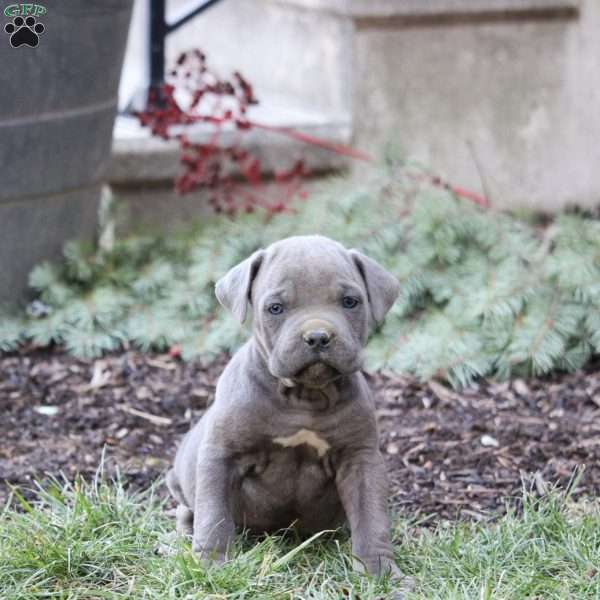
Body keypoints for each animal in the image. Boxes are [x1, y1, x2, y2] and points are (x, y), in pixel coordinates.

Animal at [168, 234, 404, 576]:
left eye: (350, 302)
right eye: (275, 308)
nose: (318, 336)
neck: (304, 397)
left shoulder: (360, 458)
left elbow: (371, 516)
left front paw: (379, 570)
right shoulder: (221, 455)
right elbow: (214, 515)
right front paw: (212, 565)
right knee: (190, 510)